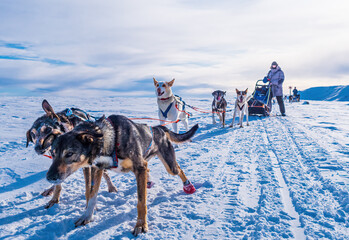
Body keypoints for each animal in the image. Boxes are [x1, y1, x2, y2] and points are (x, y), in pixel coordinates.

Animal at [46, 115, 198, 235]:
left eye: (69, 153)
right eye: (52, 153)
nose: (49, 177)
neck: (111, 139)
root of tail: (159, 128)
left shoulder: (139, 167)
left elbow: (141, 202)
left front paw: (141, 225)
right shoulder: (97, 169)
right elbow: (92, 195)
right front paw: (87, 216)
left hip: (169, 166)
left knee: (178, 169)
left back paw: (188, 185)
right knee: (149, 169)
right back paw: (149, 182)